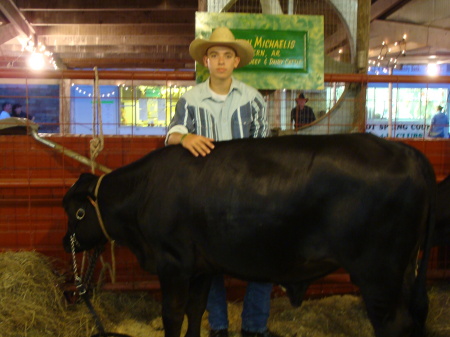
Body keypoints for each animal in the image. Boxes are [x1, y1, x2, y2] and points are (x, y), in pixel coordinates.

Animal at [61, 133, 434, 336]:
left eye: (76, 212)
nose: (66, 243)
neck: (145, 192)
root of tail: (405, 150)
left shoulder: (174, 264)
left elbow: (172, 315)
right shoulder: (201, 268)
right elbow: (196, 311)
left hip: (379, 273)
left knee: (394, 325)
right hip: (404, 271)